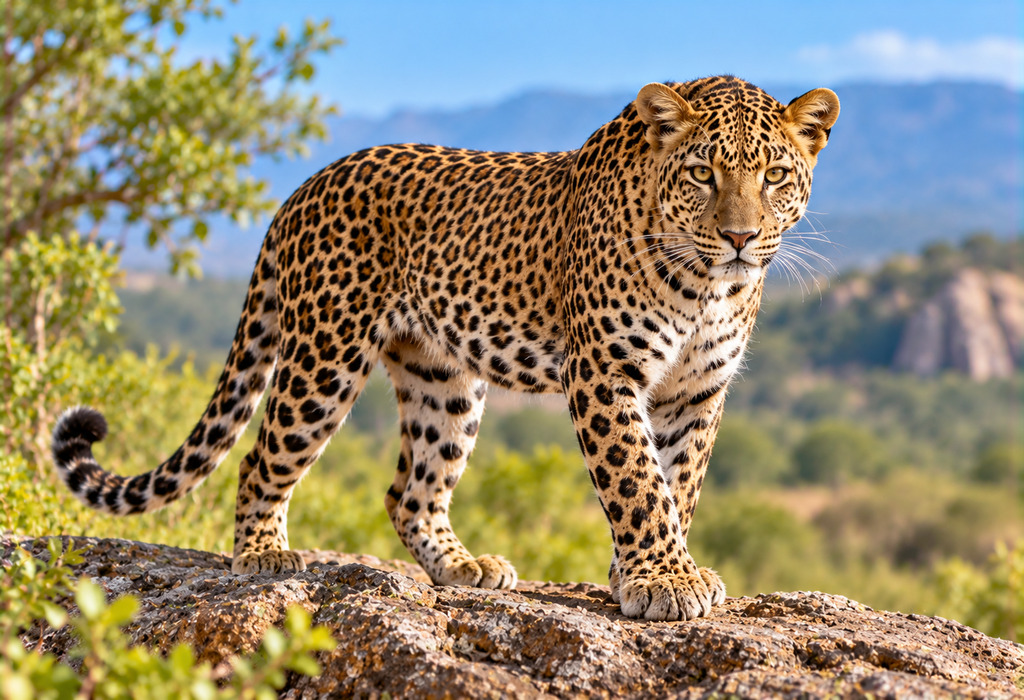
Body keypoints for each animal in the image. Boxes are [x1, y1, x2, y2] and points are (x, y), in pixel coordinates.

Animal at [52, 76, 839, 621]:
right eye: (703, 174)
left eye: (774, 176)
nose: (740, 237)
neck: (708, 286)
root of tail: (305, 187)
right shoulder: (604, 372)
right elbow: (638, 480)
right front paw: (664, 580)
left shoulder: (697, 389)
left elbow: (679, 481)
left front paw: (642, 575)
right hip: (324, 357)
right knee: (260, 458)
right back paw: (264, 555)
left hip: (443, 379)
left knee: (411, 490)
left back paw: (463, 569)